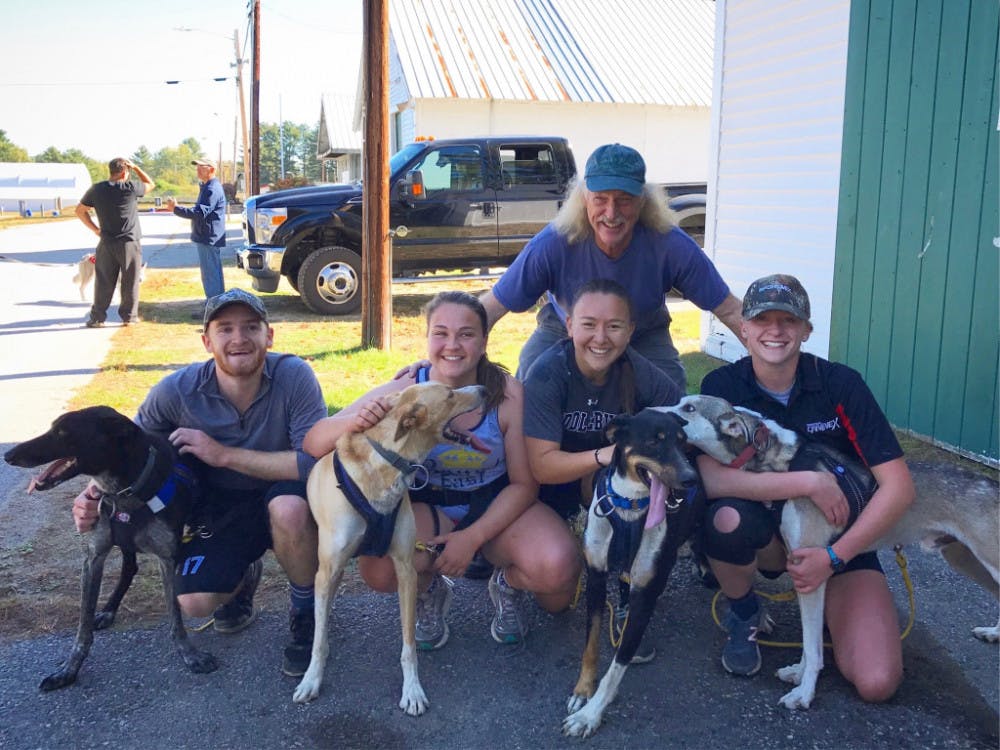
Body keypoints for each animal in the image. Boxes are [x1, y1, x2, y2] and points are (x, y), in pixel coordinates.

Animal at [3, 408, 216, 692]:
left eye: (63, 433)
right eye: (52, 428)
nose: (8, 456)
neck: (123, 490)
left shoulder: (168, 558)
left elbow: (176, 617)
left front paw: (189, 654)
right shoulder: (93, 558)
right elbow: (83, 627)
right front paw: (68, 670)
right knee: (129, 567)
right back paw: (108, 610)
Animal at [292, 384, 486, 720]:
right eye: (450, 394)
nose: (484, 388)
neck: (386, 466)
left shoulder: (405, 567)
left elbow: (408, 645)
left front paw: (412, 691)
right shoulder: (327, 569)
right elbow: (317, 642)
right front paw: (311, 678)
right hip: (329, 568)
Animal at [564, 408, 704, 736]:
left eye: (682, 442)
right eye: (655, 441)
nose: (690, 479)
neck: (630, 507)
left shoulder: (646, 596)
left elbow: (618, 664)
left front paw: (590, 714)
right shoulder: (596, 579)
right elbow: (591, 645)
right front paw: (583, 690)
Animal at [660, 396, 996, 712]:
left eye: (689, 408)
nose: (655, 414)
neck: (782, 462)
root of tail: (992, 483)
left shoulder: (811, 571)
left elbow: (813, 647)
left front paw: (804, 694)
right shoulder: (803, 572)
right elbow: (809, 645)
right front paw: (798, 675)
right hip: (966, 560)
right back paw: (993, 633)